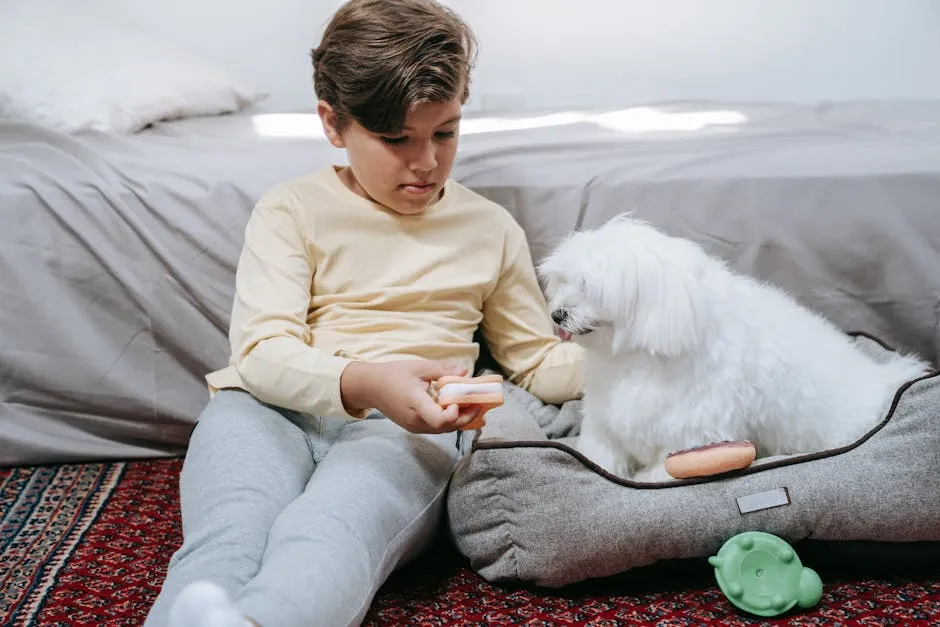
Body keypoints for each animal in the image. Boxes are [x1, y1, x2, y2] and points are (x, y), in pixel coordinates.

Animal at [540, 213, 928, 484]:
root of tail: (882, 382)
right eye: (563, 282)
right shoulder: (605, 419)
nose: (557, 313)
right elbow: (602, 452)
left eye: (589, 287)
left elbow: (664, 467)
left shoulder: (695, 432)